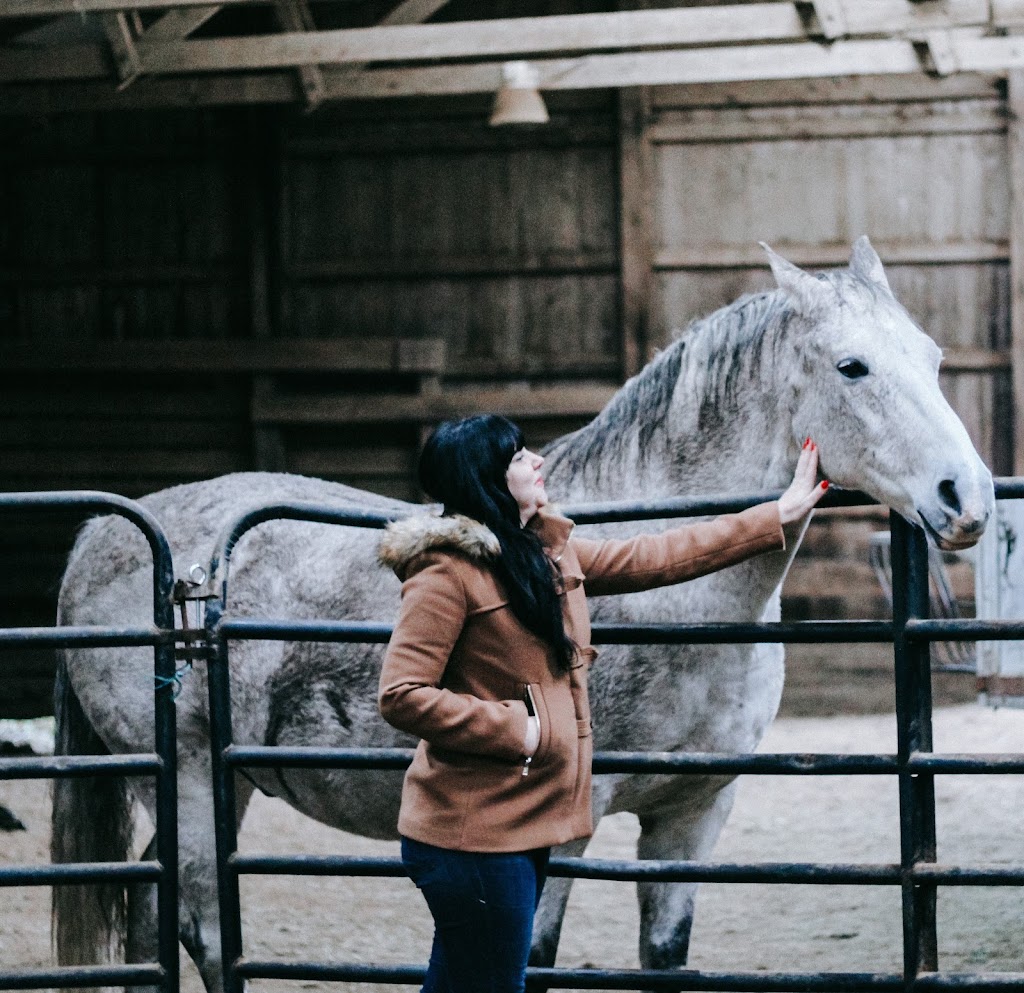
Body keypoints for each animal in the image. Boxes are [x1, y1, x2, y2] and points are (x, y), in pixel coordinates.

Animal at [49, 238, 991, 982]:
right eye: (851, 366)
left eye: (934, 355)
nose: (968, 496)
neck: (675, 605)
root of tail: (109, 533)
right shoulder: (564, 831)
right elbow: (532, 955)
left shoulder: (693, 816)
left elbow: (665, 956)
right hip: (187, 779)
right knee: (202, 924)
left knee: (152, 912)